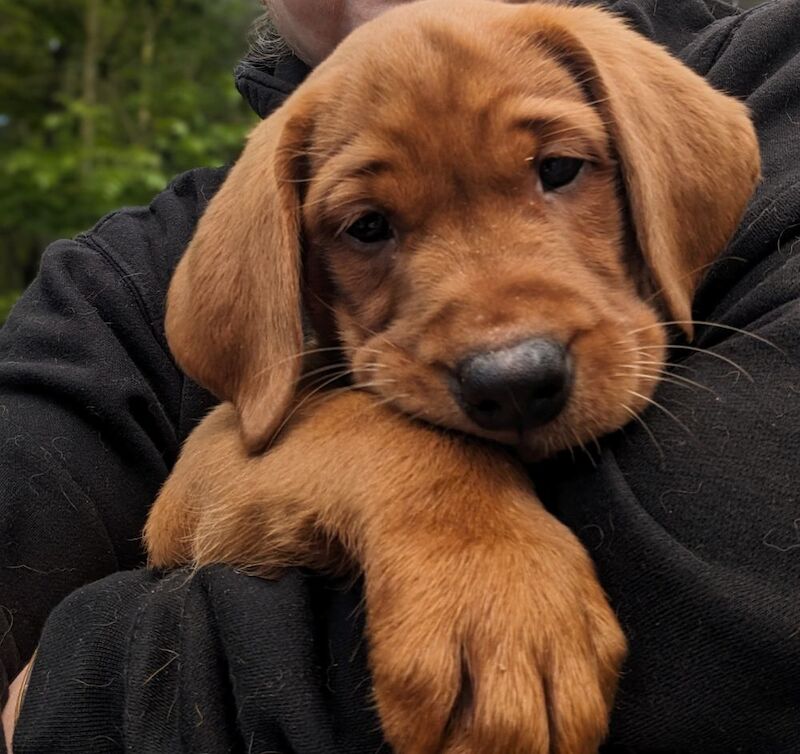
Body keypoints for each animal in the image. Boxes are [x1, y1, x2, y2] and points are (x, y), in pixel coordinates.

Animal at [145, 2, 764, 748]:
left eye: (559, 169)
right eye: (367, 226)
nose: (514, 383)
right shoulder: (205, 469)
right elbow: (374, 424)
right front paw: (501, 601)